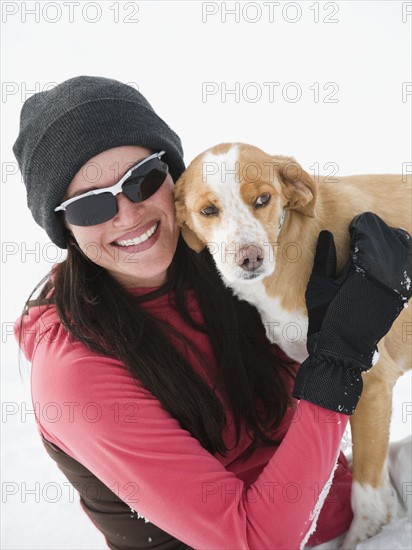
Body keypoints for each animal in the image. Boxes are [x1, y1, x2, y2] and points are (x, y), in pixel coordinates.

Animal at [175, 143, 412, 550]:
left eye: (263, 199)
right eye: (208, 211)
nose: (249, 257)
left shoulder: (371, 384)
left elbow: (366, 493)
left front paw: (361, 536)